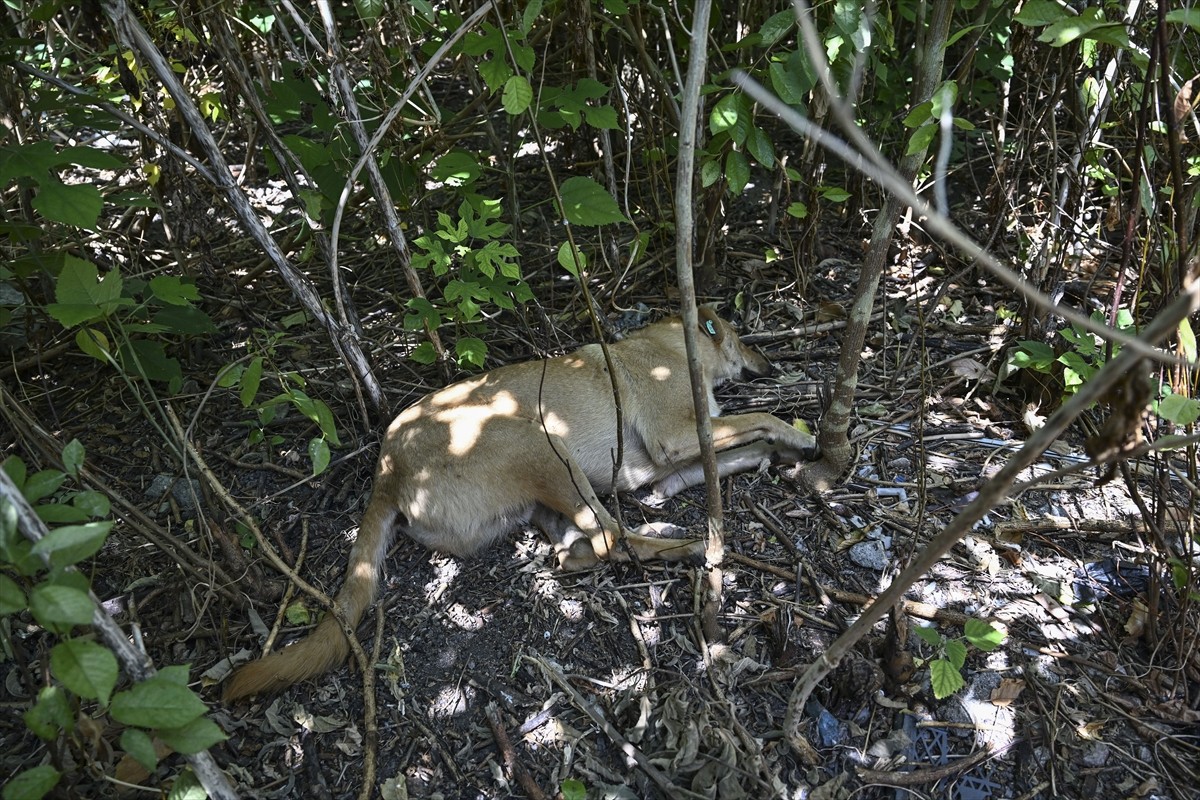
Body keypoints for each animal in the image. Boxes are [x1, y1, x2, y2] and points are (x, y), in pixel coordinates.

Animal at [222, 307, 820, 700]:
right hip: (542, 440)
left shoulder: (665, 464)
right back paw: (691, 545)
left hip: (544, 489)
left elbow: (739, 448)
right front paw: (799, 435)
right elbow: (758, 417)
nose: (770, 363)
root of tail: (385, 474)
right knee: (610, 538)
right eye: (744, 339)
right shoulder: (675, 437)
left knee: (583, 547)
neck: (670, 347)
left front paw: (779, 453)